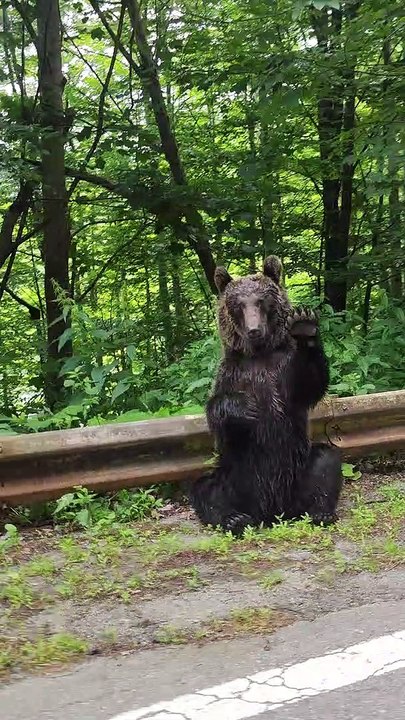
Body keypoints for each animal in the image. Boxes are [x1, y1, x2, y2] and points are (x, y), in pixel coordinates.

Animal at [189, 256, 343, 536]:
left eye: (261, 301)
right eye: (238, 304)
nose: (253, 329)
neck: (259, 353)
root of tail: (271, 511)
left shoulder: (283, 370)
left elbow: (309, 384)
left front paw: (304, 326)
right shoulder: (232, 372)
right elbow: (217, 413)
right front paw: (244, 406)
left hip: (298, 468)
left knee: (325, 462)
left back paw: (321, 512)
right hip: (234, 475)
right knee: (206, 488)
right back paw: (234, 519)